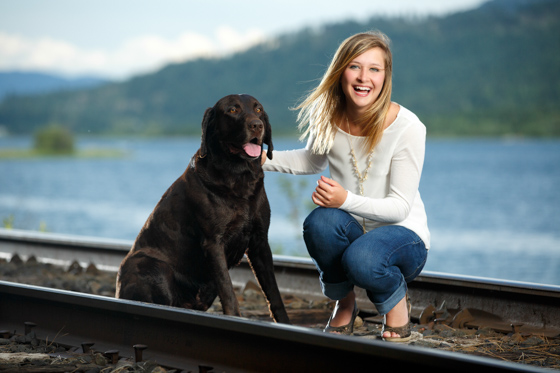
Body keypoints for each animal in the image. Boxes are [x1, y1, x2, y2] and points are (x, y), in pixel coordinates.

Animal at [114, 93, 288, 322]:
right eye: (233, 110)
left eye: (258, 110)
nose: (257, 125)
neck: (239, 177)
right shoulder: (213, 242)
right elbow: (228, 290)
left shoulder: (260, 242)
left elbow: (274, 293)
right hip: (152, 265)